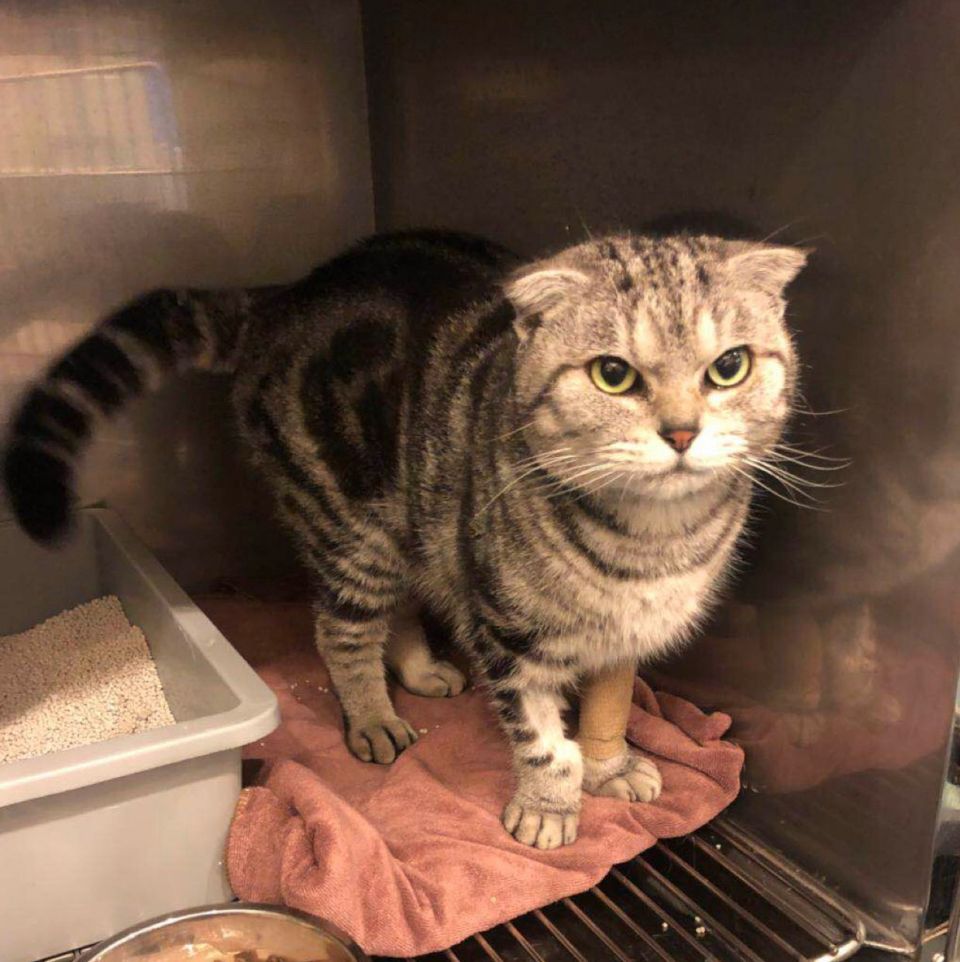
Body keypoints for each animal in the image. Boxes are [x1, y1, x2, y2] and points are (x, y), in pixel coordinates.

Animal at [3, 228, 805, 849]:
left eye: (729, 366)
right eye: (614, 375)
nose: (682, 432)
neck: (651, 542)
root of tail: (288, 294)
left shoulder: (623, 638)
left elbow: (608, 714)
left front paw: (610, 769)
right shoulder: (505, 632)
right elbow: (545, 743)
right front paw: (549, 806)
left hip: (417, 519)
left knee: (408, 603)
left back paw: (420, 673)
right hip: (352, 527)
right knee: (343, 630)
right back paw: (373, 717)